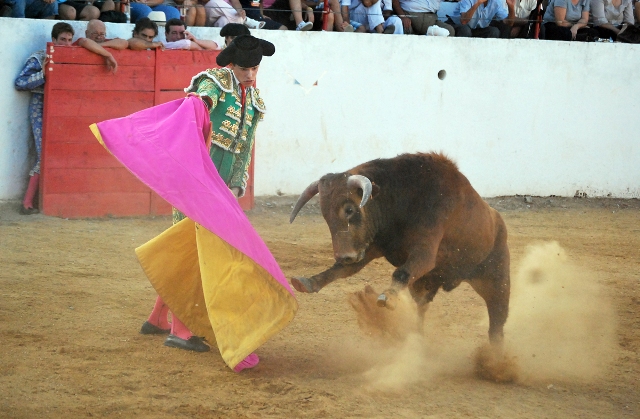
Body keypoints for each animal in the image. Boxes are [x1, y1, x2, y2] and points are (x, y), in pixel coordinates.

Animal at [290, 153, 510, 342]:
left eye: (349, 209)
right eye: (324, 214)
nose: (344, 255)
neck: (402, 198)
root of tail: (497, 219)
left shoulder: (425, 251)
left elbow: (402, 272)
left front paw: (387, 297)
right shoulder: (374, 246)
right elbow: (342, 270)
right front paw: (308, 282)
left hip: (497, 280)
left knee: (497, 322)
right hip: (422, 285)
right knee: (422, 308)